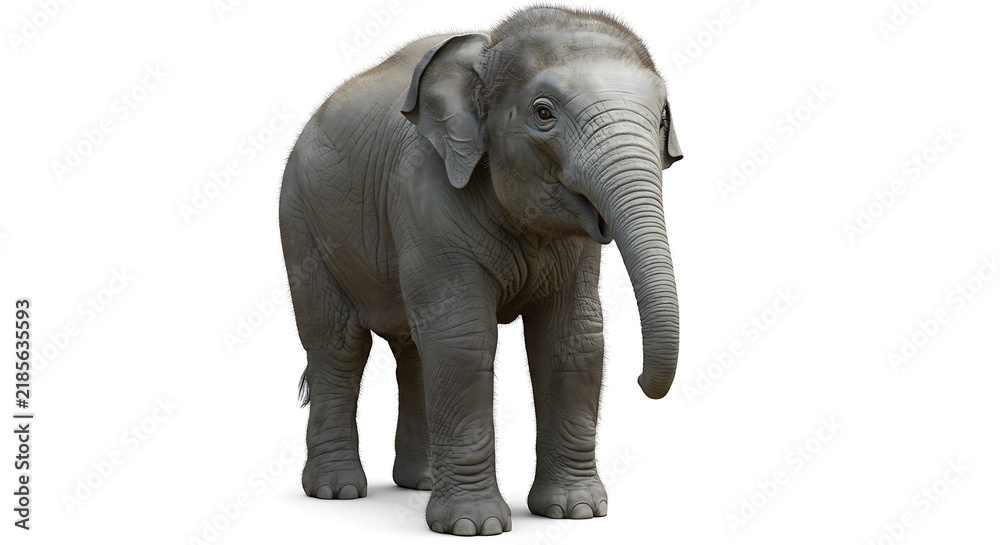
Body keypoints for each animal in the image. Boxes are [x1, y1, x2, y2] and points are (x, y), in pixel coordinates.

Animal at [278, 5, 683, 536]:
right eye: (543, 113)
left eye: (662, 117)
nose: (641, 381)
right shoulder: (425, 192)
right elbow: (464, 336)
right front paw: (476, 526)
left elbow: (572, 337)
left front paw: (576, 512)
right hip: (302, 223)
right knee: (339, 345)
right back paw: (336, 492)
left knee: (414, 347)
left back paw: (421, 482)